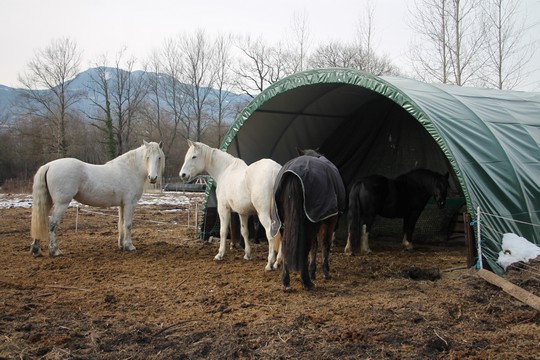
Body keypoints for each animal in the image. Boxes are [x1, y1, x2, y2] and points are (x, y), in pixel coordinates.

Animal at [29, 140, 163, 256]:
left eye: (159, 158)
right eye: (147, 157)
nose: (152, 178)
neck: (130, 170)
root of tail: (49, 165)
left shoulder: (122, 205)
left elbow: (121, 223)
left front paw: (121, 246)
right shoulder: (130, 203)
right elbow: (128, 224)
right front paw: (129, 246)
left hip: (48, 202)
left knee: (41, 219)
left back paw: (36, 250)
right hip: (62, 203)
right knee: (53, 223)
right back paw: (55, 251)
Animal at [181, 141, 282, 270]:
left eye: (194, 156)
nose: (183, 174)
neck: (224, 171)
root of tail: (274, 170)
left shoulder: (223, 209)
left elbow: (223, 231)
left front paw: (220, 254)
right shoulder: (243, 213)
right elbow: (244, 231)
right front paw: (247, 254)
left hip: (263, 214)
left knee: (270, 233)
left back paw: (270, 263)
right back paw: (278, 262)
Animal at [272, 149, 344, 292]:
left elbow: (314, 246)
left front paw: (313, 272)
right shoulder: (328, 220)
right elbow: (324, 244)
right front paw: (324, 272)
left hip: (283, 223)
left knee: (287, 246)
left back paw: (286, 282)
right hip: (311, 223)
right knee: (305, 246)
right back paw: (306, 281)